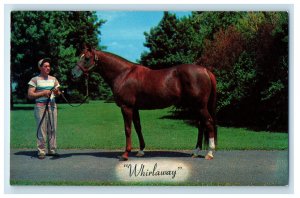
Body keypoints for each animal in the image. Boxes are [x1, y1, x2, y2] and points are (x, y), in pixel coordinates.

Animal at [72, 46, 218, 161]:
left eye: (87, 58)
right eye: (80, 56)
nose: (73, 73)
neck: (123, 74)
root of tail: (205, 70)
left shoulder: (126, 107)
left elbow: (128, 129)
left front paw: (125, 154)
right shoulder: (135, 108)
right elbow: (138, 127)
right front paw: (141, 150)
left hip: (200, 106)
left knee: (209, 122)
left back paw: (209, 153)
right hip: (196, 106)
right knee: (201, 126)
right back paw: (196, 152)